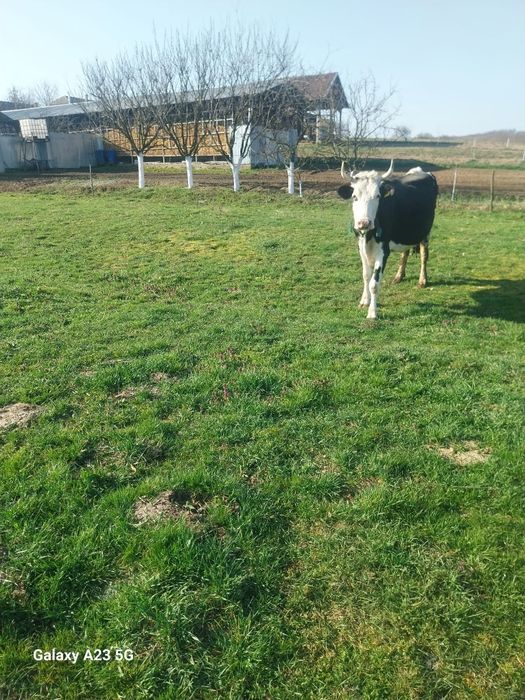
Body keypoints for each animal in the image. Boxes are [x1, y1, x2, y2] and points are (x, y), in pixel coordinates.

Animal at [337, 160, 438, 319]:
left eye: (378, 196)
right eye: (354, 196)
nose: (364, 223)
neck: (368, 235)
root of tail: (420, 171)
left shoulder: (383, 251)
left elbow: (374, 283)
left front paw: (372, 312)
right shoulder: (360, 247)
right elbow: (366, 276)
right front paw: (364, 301)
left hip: (425, 232)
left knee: (424, 255)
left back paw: (422, 280)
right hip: (405, 234)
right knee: (405, 253)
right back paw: (399, 276)